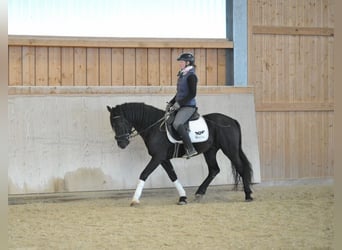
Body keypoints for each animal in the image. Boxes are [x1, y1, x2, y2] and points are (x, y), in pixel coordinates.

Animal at [107, 102, 254, 206]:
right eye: (112, 125)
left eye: (120, 122)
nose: (122, 144)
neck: (154, 127)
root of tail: (232, 120)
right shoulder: (163, 159)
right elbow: (173, 175)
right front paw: (183, 197)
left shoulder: (157, 157)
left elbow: (144, 174)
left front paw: (135, 199)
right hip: (210, 151)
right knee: (214, 170)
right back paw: (199, 193)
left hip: (230, 150)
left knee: (240, 168)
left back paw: (248, 195)